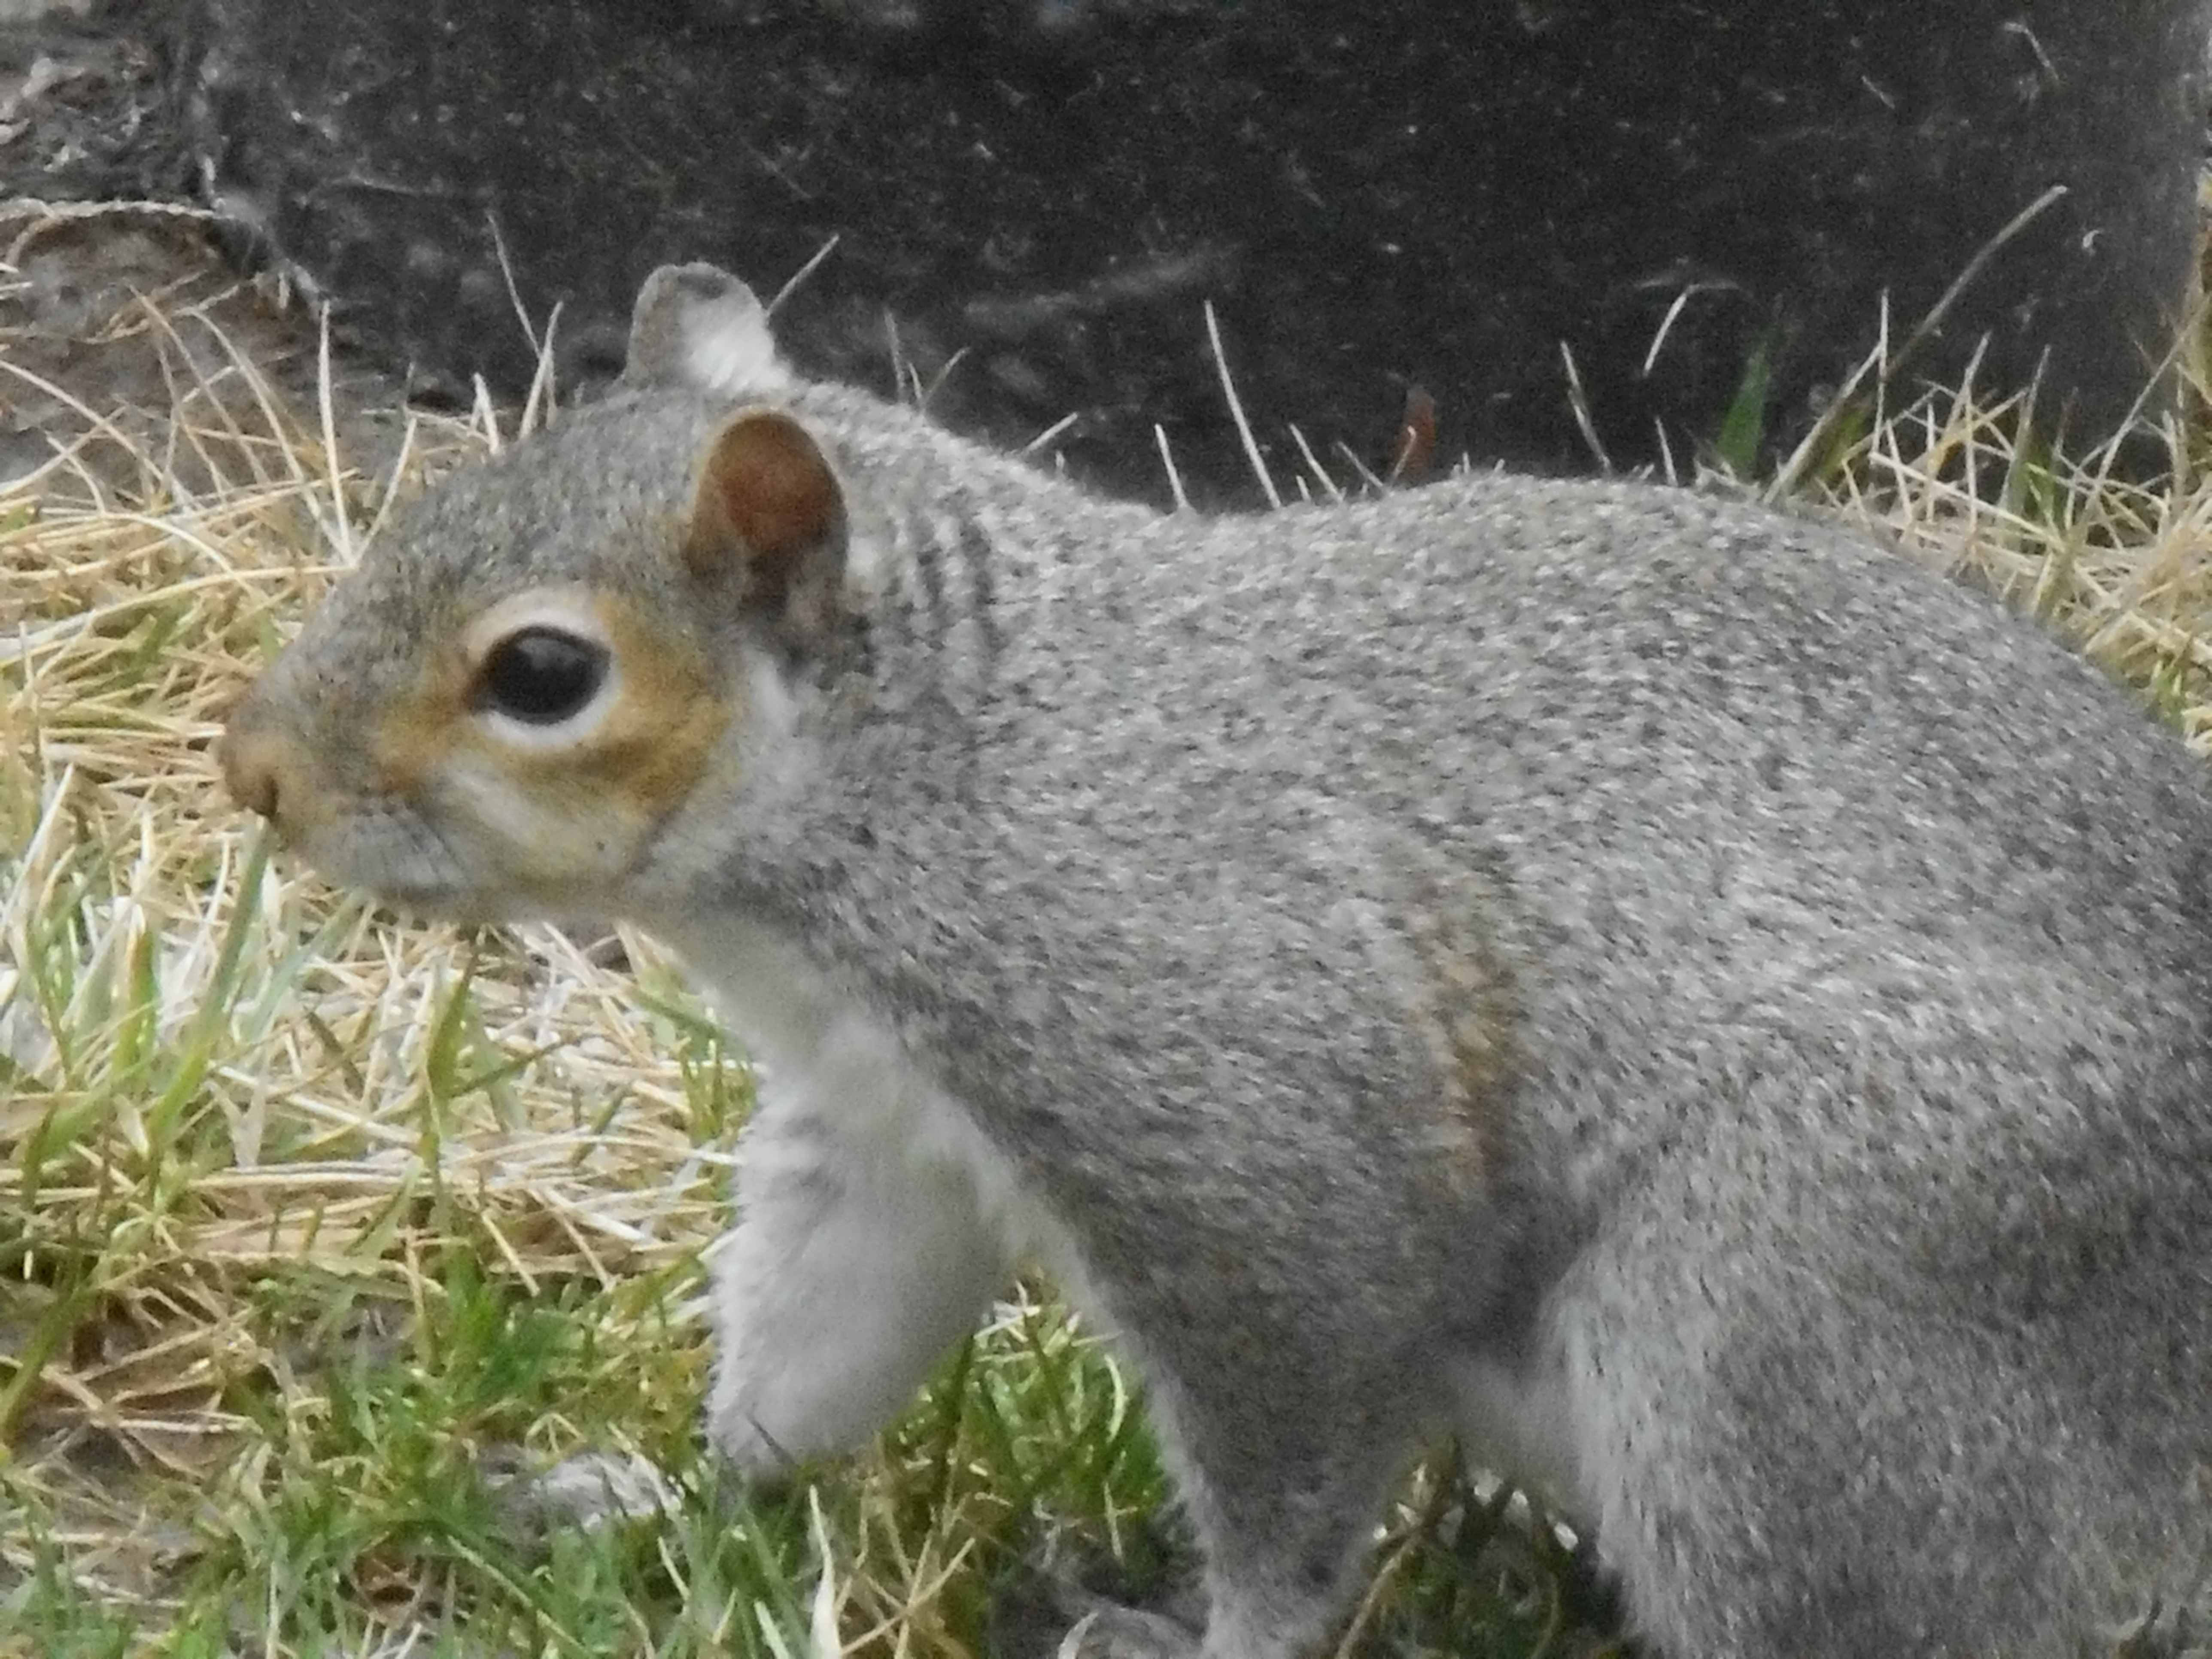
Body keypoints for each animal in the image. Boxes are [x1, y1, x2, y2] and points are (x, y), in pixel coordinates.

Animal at [220, 262, 2212, 1658]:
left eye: (544, 675)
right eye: (425, 507)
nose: (257, 775)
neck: (936, 779)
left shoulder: (1245, 1132)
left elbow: (1297, 1446)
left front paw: (1207, 1636)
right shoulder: (885, 1136)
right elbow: (814, 1348)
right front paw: (660, 1498)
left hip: (1794, 1308)